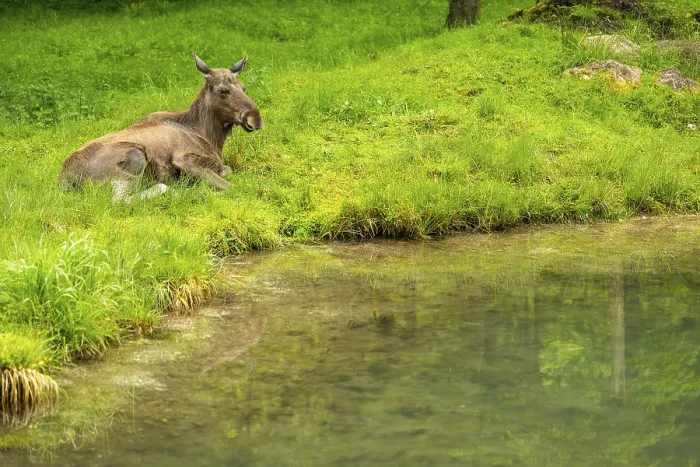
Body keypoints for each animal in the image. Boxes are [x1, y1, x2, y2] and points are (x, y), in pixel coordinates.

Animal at [58, 53, 263, 202]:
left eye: (243, 87)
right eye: (223, 90)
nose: (256, 119)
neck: (211, 137)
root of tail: (65, 181)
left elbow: (227, 170)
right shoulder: (184, 160)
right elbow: (232, 186)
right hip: (133, 158)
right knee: (121, 200)